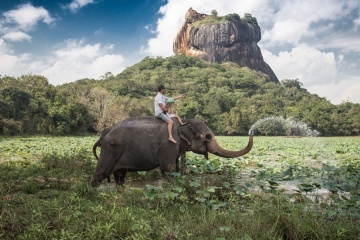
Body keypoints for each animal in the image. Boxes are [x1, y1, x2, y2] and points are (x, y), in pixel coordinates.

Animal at [90, 115, 253, 187]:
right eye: (207, 137)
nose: (251, 132)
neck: (184, 122)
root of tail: (104, 133)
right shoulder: (168, 145)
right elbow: (167, 169)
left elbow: (175, 169)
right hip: (110, 149)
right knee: (101, 173)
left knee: (120, 176)